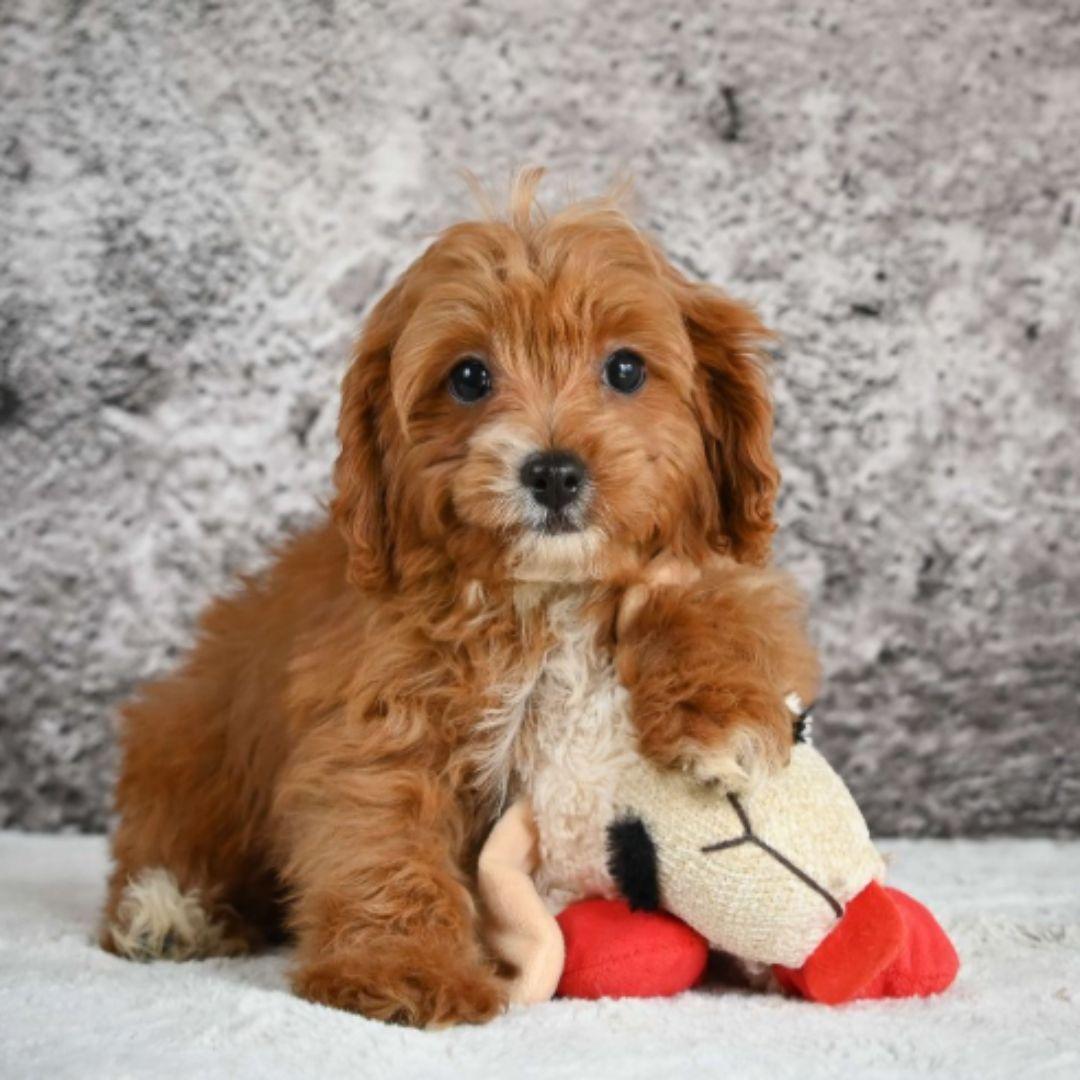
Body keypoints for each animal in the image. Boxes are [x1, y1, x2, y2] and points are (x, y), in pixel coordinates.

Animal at [105, 170, 820, 1028]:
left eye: (624, 370)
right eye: (471, 378)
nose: (554, 471)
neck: (547, 594)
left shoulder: (713, 566)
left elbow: (725, 601)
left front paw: (725, 718)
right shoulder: (377, 722)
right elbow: (382, 835)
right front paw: (400, 966)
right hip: (192, 747)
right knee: (166, 841)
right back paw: (168, 910)